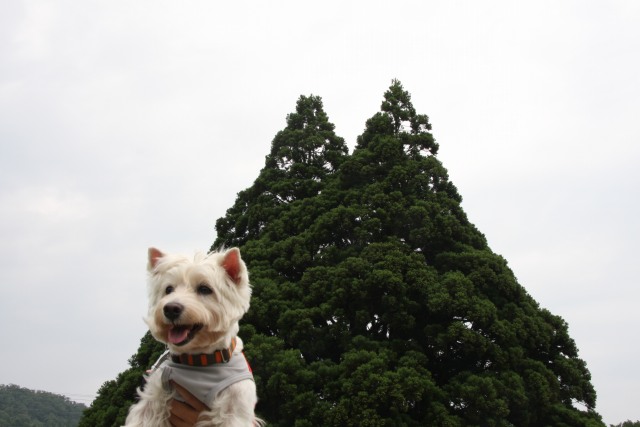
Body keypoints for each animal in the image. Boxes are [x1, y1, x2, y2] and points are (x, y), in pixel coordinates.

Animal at [124, 247, 264, 427]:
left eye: (204, 289)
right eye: (168, 289)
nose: (170, 309)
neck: (199, 359)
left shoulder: (234, 407)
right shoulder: (153, 395)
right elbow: (142, 418)